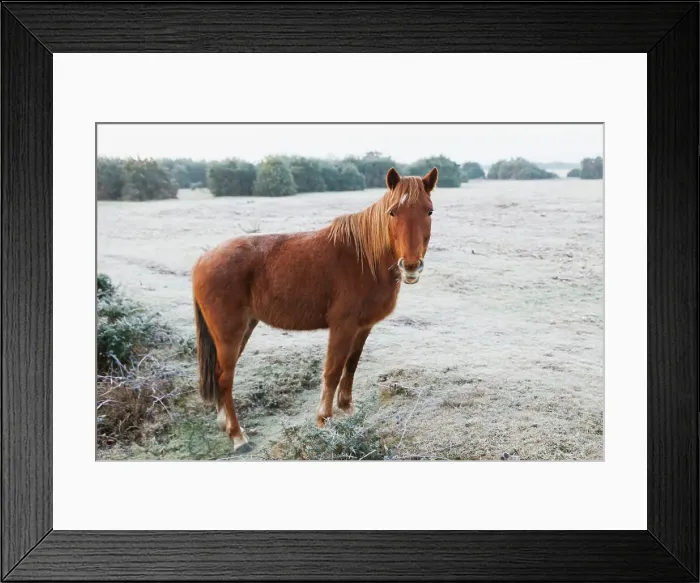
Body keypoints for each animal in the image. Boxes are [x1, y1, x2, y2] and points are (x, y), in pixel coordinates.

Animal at [192, 166, 438, 452]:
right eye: (392, 212)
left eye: (429, 211)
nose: (410, 266)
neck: (365, 258)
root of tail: (203, 258)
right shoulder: (342, 327)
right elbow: (332, 371)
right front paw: (324, 420)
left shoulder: (363, 327)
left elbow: (351, 365)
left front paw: (347, 408)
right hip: (229, 333)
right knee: (225, 379)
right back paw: (237, 435)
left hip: (241, 330)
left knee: (220, 374)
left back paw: (225, 425)